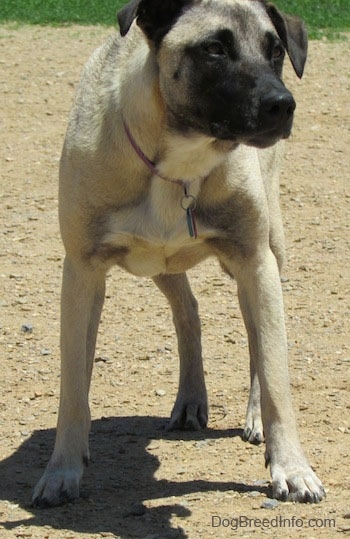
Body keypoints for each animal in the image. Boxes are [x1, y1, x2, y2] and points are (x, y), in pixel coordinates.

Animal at [31, 0, 324, 508]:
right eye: (214, 49)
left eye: (276, 50)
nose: (282, 105)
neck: (179, 161)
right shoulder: (82, 271)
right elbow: (73, 384)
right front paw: (62, 470)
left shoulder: (255, 260)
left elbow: (275, 372)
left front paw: (290, 467)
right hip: (161, 267)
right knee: (188, 312)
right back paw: (189, 400)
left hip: (270, 253)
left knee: (256, 337)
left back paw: (253, 418)